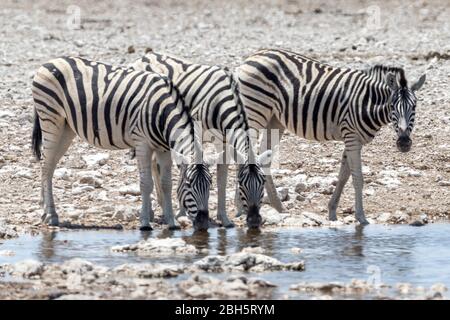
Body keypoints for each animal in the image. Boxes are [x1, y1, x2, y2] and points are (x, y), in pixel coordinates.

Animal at [32, 55, 213, 230]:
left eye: (210, 184)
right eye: (189, 184)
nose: (203, 224)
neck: (161, 112)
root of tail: (49, 62)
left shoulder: (164, 149)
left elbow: (166, 183)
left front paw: (171, 223)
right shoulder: (142, 143)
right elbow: (146, 183)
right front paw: (145, 223)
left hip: (66, 128)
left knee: (50, 167)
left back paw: (44, 209)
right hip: (50, 118)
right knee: (45, 166)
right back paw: (51, 215)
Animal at [128, 51, 272, 229]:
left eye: (263, 181)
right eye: (241, 183)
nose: (254, 221)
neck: (220, 100)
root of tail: (147, 55)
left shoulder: (224, 141)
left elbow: (221, 180)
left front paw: (224, 218)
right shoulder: (192, 128)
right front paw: (182, 212)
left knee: (154, 162)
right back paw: (154, 210)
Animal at [237, 49, 428, 225]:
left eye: (415, 106)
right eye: (392, 106)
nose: (404, 143)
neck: (367, 103)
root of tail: (254, 55)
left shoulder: (353, 139)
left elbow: (343, 176)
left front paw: (332, 212)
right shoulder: (352, 137)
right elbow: (357, 178)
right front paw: (362, 218)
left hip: (274, 119)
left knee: (264, 157)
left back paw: (278, 207)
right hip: (255, 112)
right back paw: (241, 208)